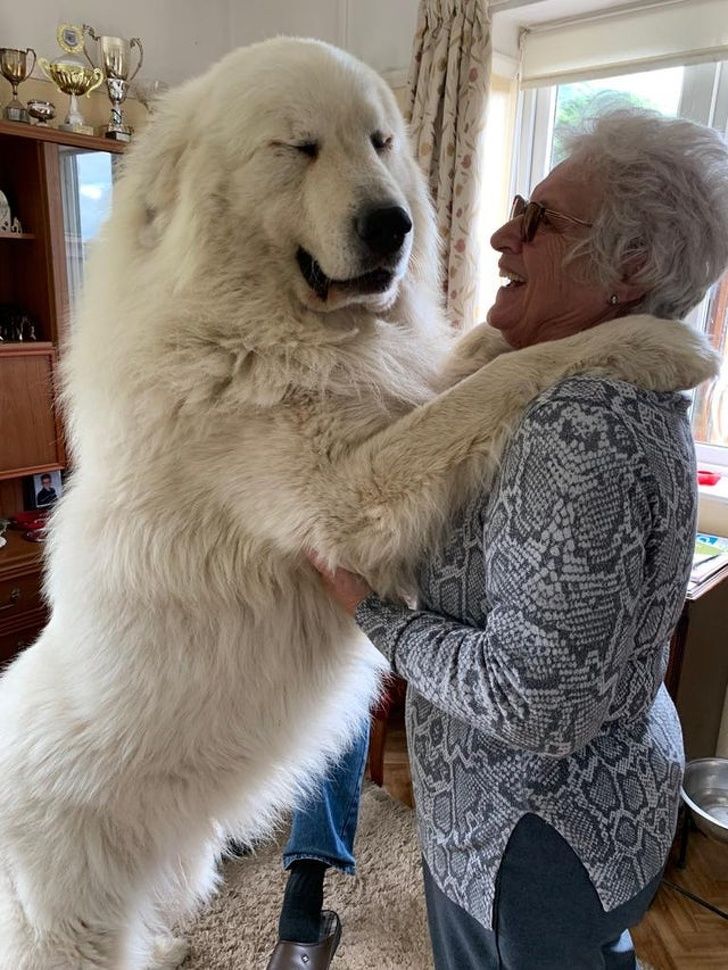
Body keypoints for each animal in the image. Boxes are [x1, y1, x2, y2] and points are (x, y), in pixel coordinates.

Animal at [0, 37, 716, 968]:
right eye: (299, 148)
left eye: (381, 142)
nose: (394, 225)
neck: (263, 328)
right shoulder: (344, 496)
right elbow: (501, 381)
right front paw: (657, 340)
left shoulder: (390, 401)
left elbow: (471, 362)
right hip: (71, 922)